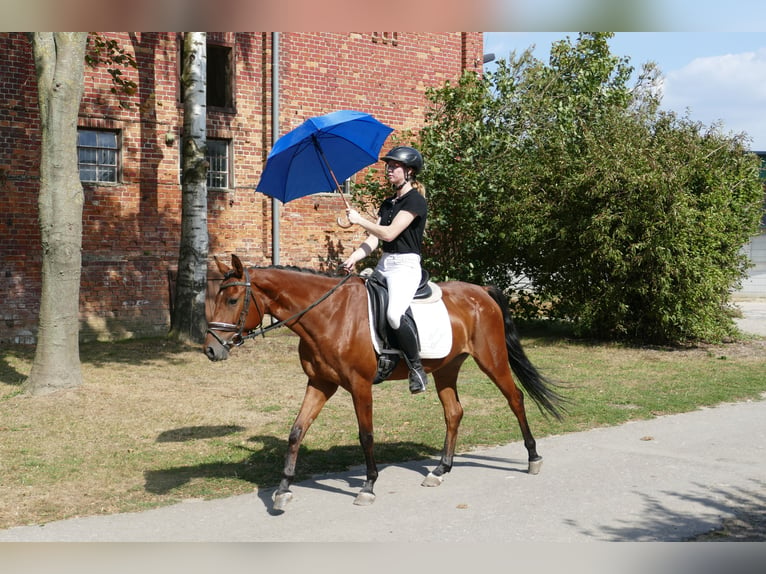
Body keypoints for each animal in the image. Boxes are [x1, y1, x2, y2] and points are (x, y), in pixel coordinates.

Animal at [204, 256, 564, 512]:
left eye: (233, 300)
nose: (211, 349)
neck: (329, 314)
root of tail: (481, 291)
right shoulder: (320, 383)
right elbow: (296, 431)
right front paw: (282, 491)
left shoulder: (359, 385)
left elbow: (366, 435)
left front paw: (368, 487)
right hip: (447, 368)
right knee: (454, 412)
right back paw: (440, 470)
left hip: (492, 359)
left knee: (515, 398)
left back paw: (533, 458)